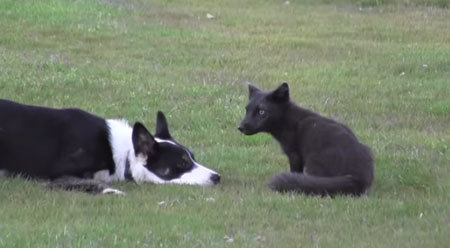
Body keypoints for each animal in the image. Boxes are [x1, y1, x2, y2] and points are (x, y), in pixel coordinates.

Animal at [0, 100, 220, 195]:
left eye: (193, 158)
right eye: (182, 164)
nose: (217, 177)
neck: (124, 155)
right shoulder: (54, 178)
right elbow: (90, 183)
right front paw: (111, 191)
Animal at [237, 83, 374, 196]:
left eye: (262, 112)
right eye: (247, 110)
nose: (240, 127)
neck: (288, 120)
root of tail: (357, 178)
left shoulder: (294, 155)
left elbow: (295, 171)